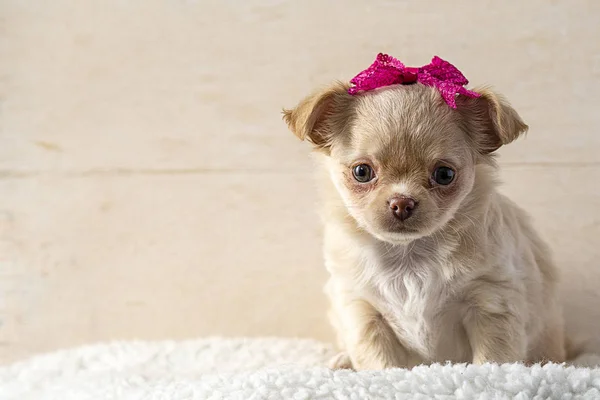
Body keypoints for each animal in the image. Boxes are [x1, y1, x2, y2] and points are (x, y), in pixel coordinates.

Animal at [284, 82, 564, 372]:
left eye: (444, 174)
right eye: (362, 172)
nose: (401, 203)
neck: (409, 256)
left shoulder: (492, 301)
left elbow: (492, 360)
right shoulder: (362, 310)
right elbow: (380, 362)